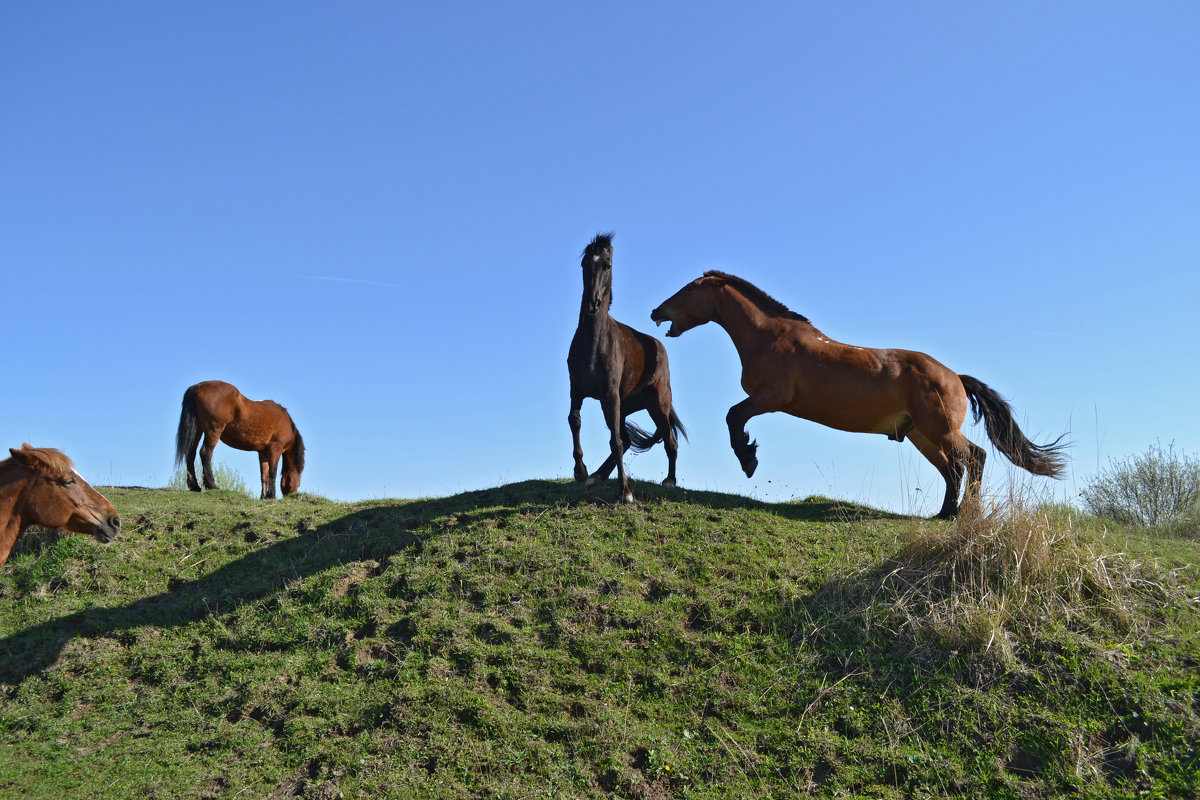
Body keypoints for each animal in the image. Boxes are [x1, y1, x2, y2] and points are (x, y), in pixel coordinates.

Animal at [175, 381, 307, 501]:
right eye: (298, 484)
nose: (290, 497)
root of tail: (199, 386)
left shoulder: (263, 452)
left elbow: (264, 475)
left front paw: (264, 497)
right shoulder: (275, 448)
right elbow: (272, 472)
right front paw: (271, 496)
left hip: (198, 429)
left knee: (190, 454)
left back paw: (195, 486)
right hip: (213, 430)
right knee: (205, 453)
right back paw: (212, 485)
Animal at [568, 231, 691, 503]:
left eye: (607, 265)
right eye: (584, 264)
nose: (592, 303)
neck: (594, 343)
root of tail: (659, 345)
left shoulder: (610, 395)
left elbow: (614, 440)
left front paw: (625, 492)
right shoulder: (577, 391)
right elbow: (575, 420)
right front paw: (581, 471)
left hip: (656, 404)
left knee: (669, 441)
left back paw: (670, 481)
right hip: (624, 405)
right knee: (625, 439)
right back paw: (596, 476)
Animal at [652, 268, 1065, 520]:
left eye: (688, 290)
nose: (657, 311)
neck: (771, 337)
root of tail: (956, 379)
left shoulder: (773, 398)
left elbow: (734, 416)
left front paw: (748, 458)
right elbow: (733, 415)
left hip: (940, 429)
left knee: (974, 458)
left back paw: (966, 514)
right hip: (921, 435)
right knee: (953, 469)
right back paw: (945, 514)